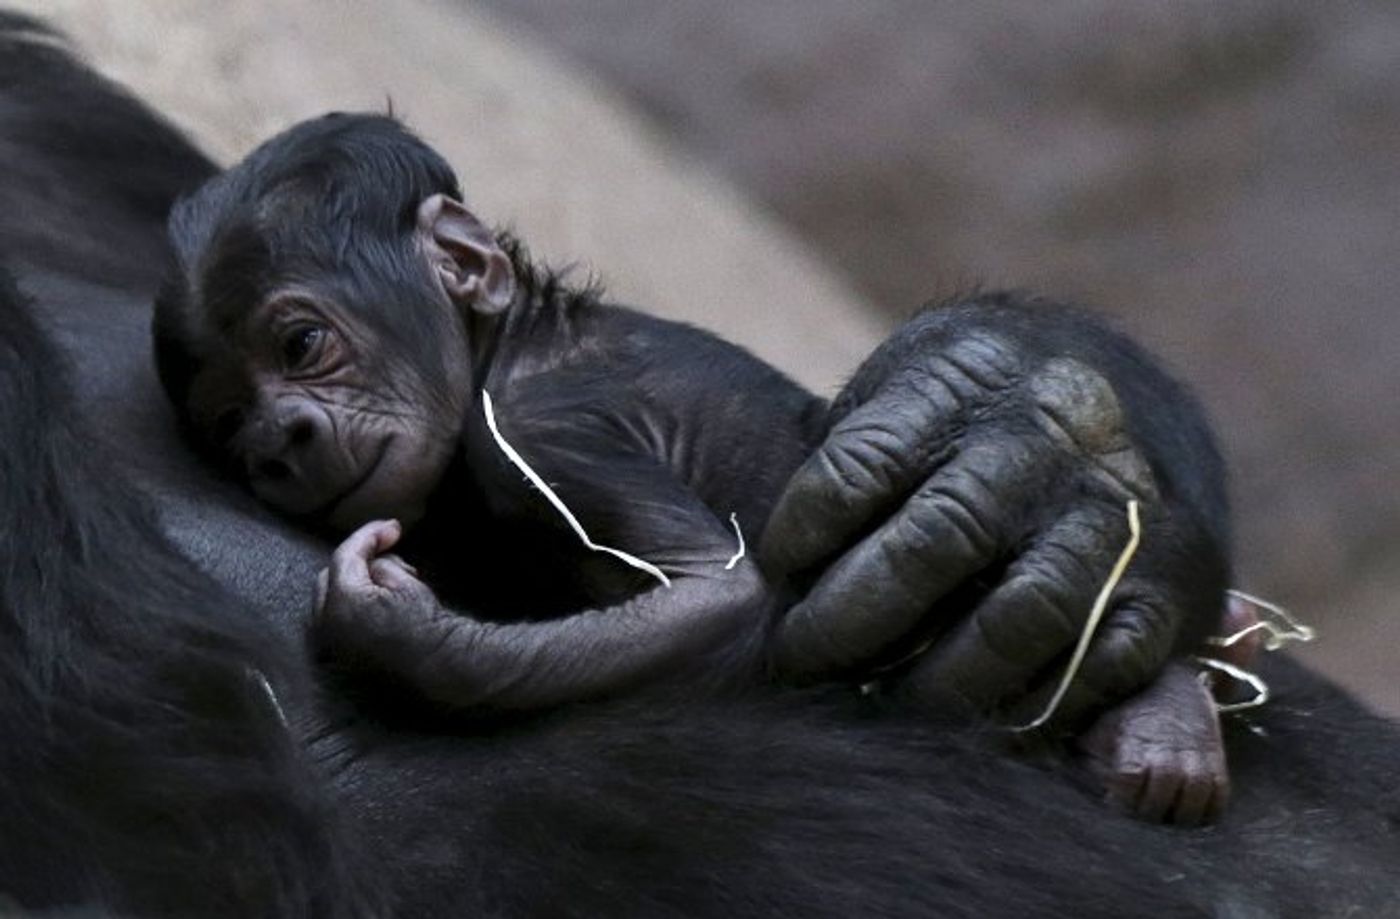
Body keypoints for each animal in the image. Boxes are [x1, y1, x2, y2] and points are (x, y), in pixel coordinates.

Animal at [156, 112, 1237, 823]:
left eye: (300, 344)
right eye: (231, 425)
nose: (280, 441)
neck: (501, 344)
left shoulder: (546, 434)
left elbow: (716, 593)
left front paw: (392, 625)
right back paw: (1171, 725)